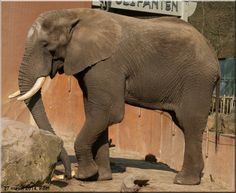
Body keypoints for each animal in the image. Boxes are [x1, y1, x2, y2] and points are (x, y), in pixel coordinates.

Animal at [7, 8, 221, 185]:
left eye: (46, 46)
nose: (66, 176)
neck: (74, 14)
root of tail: (213, 53)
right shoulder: (91, 65)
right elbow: (95, 113)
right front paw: (100, 177)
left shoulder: (107, 64)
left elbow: (108, 113)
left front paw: (86, 175)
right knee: (185, 125)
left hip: (197, 80)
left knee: (190, 123)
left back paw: (184, 181)